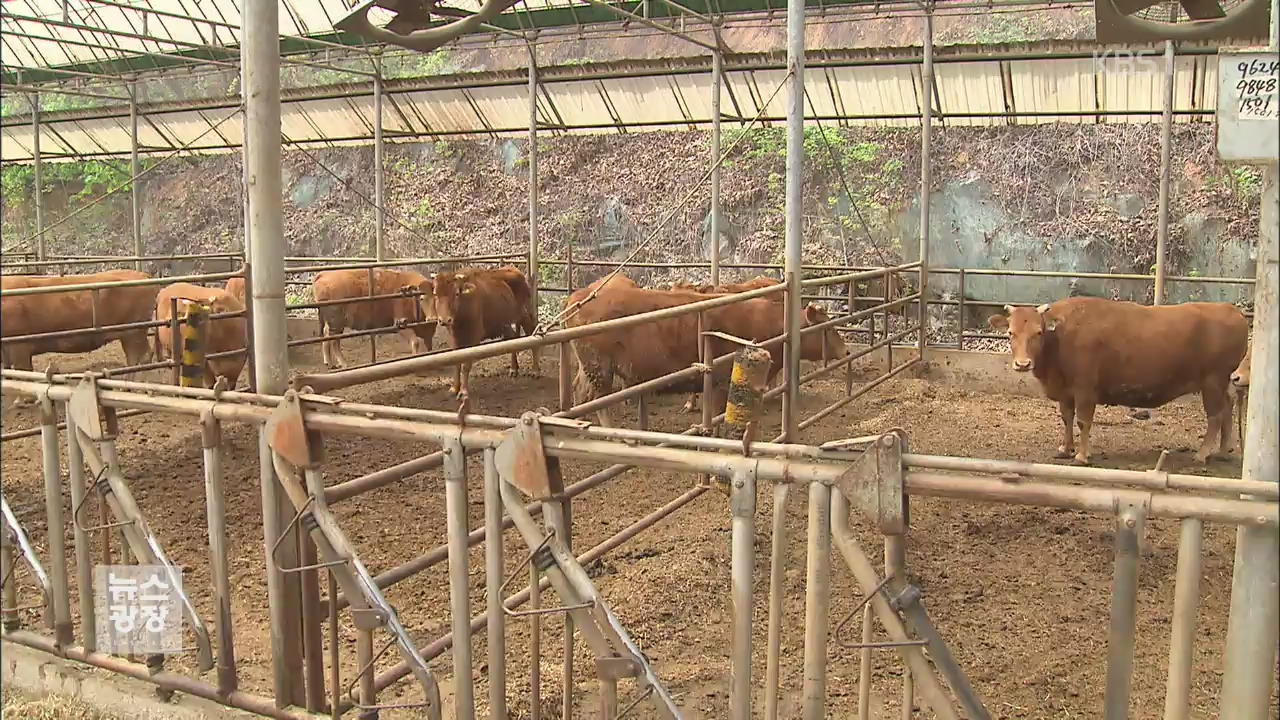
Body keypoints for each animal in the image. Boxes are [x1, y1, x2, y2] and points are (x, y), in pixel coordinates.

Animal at [419, 265, 540, 397]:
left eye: (456, 294)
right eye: (435, 294)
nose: (445, 320)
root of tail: (513, 269)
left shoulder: (473, 337)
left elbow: (466, 365)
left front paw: (464, 391)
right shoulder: (453, 338)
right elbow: (456, 362)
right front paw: (454, 388)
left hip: (524, 315)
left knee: (532, 335)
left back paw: (535, 371)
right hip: (504, 322)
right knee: (512, 339)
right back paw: (513, 369)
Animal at [565, 285, 844, 425]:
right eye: (828, 328)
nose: (846, 349)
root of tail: (577, 298)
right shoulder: (722, 381)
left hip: (588, 366)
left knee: (579, 390)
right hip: (600, 367)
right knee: (599, 400)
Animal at [983, 297, 1244, 466]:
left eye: (1038, 332)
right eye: (1010, 333)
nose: (1023, 364)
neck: (1060, 336)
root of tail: (1233, 311)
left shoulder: (1085, 390)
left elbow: (1083, 421)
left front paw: (1082, 456)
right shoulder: (1066, 392)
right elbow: (1067, 419)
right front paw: (1065, 449)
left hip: (1212, 382)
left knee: (1215, 416)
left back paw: (1202, 454)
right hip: (1221, 383)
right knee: (1228, 408)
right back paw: (1222, 451)